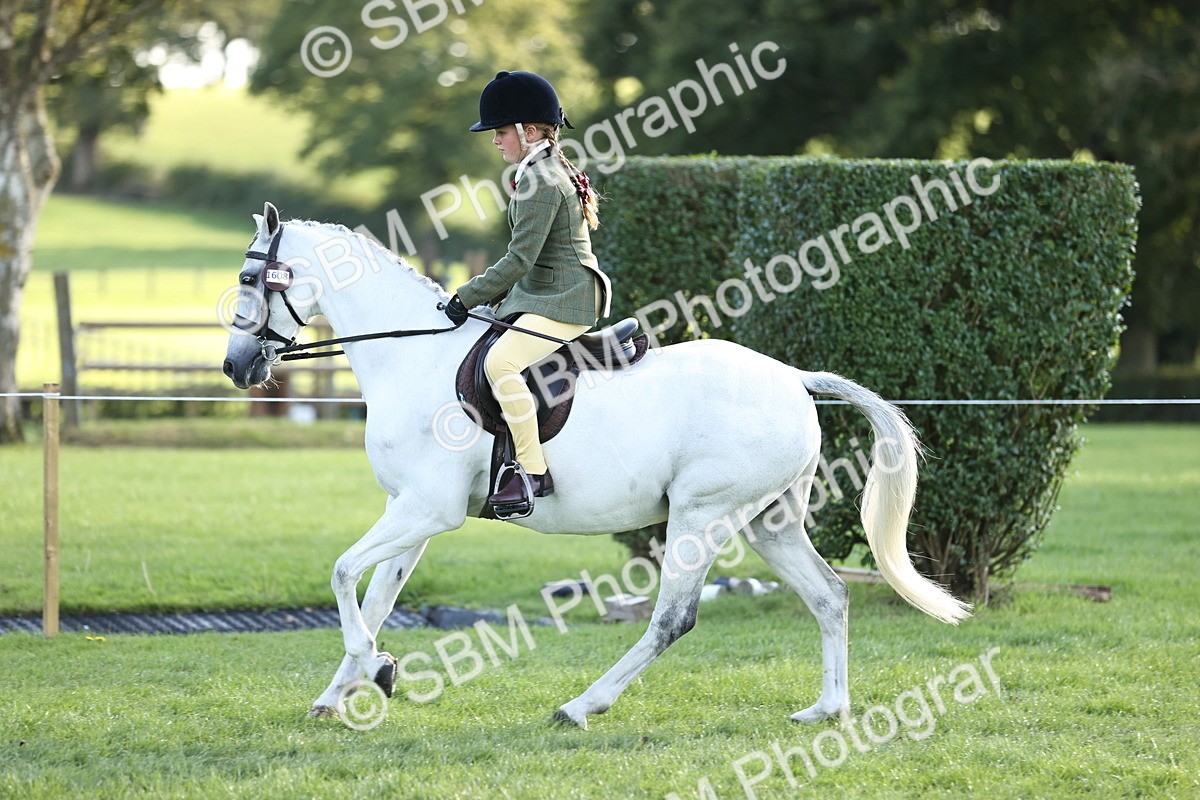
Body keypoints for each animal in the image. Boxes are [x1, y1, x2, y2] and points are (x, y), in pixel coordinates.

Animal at [222, 202, 971, 729]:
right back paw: (827, 709)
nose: (235, 367)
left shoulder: (426, 509)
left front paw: (373, 669)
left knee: (673, 620)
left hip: (702, 515)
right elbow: (375, 595)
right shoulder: (412, 512)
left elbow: (342, 572)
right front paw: (343, 691)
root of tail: (793, 379)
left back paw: (581, 705)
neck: (413, 355)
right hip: (770, 522)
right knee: (829, 595)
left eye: (251, 278)